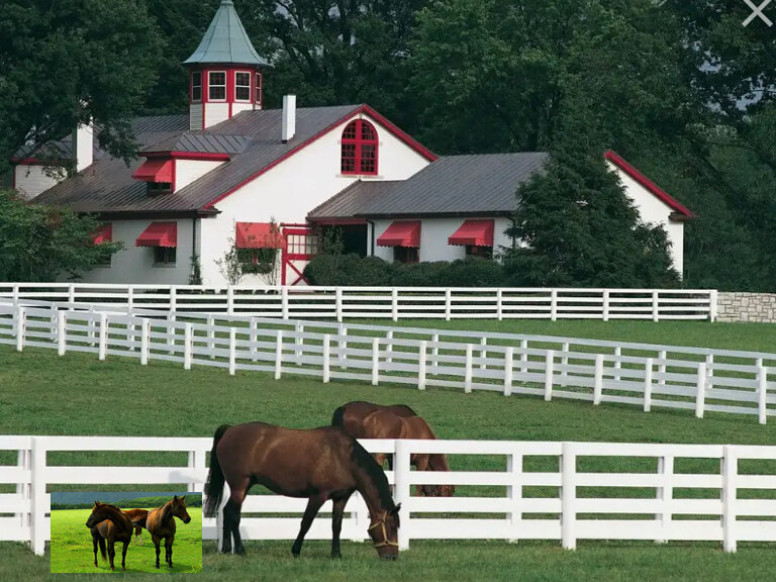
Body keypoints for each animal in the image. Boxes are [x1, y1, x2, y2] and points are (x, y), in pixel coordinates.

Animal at [203, 424, 404, 560]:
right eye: (392, 527)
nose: (392, 557)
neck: (343, 458)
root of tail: (230, 430)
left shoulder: (340, 498)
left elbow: (336, 526)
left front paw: (336, 554)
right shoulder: (317, 496)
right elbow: (306, 523)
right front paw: (296, 551)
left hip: (244, 486)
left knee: (227, 511)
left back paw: (227, 549)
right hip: (240, 485)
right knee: (233, 513)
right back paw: (240, 550)